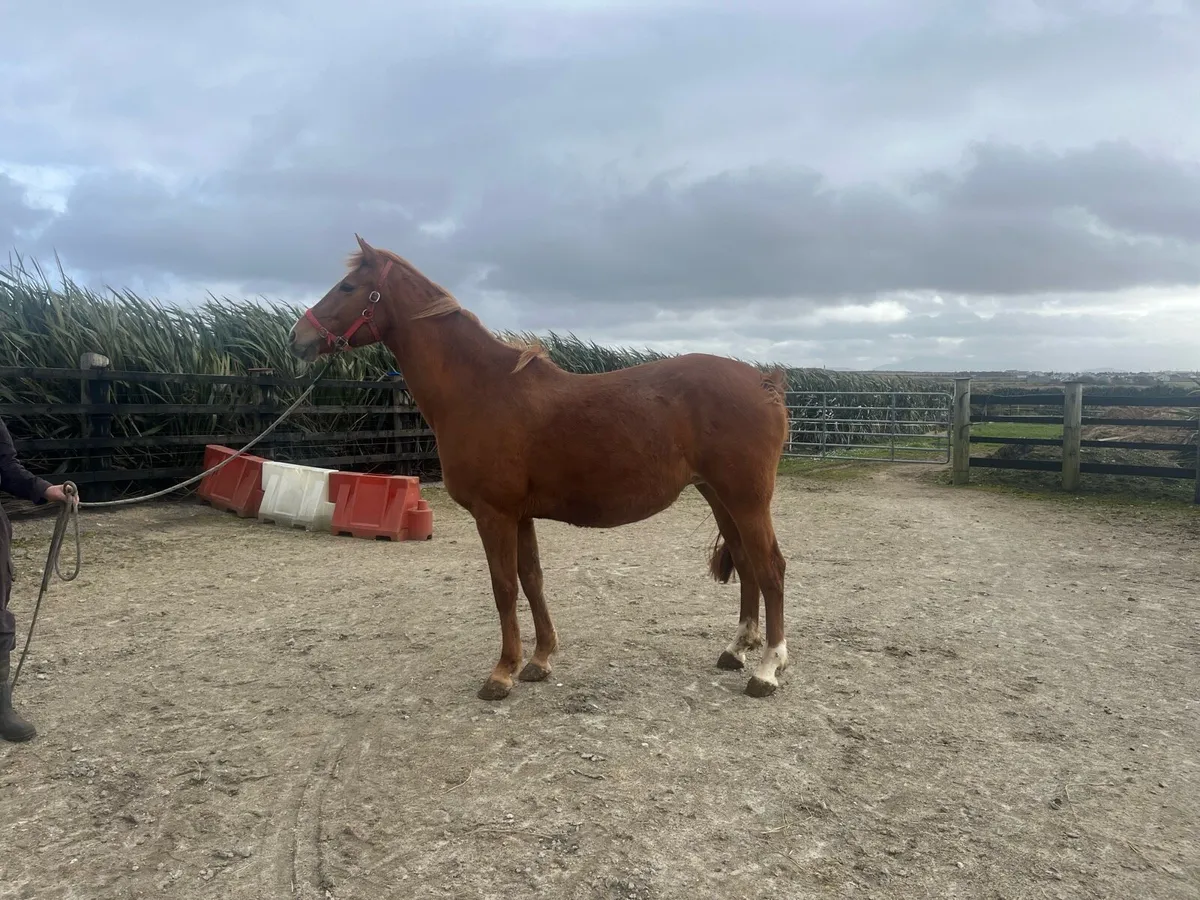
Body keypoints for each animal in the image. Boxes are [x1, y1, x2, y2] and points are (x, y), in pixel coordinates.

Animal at [289, 235, 791, 699]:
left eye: (348, 286)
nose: (297, 338)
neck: (481, 389)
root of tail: (762, 381)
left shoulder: (494, 514)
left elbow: (504, 588)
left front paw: (502, 672)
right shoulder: (521, 515)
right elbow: (532, 581)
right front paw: (540, 659)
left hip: (747, 499)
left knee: (770, 568)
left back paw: (767, 668)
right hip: (719, 495)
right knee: (746, 563)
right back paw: (736, 649)